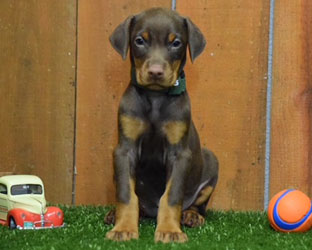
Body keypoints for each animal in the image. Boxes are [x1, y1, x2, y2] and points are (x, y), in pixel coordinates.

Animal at [106, 7, 218, 242]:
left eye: (176, 43)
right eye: (140, 41)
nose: (156, 72)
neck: (155, 98)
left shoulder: (179, 154)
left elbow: (172, 196)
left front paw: (169, 230)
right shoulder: (124, 150)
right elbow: (126, 194)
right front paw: (123, 228)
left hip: (211, 162)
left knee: (197, 204)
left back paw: (191, 215)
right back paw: (115, 214)